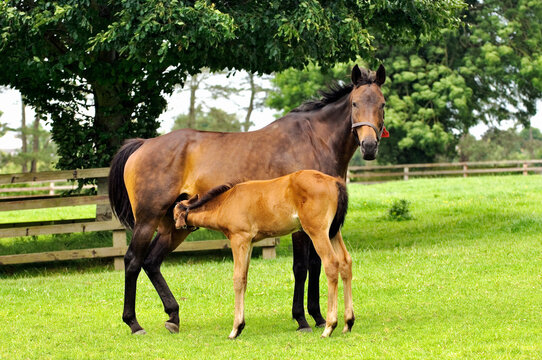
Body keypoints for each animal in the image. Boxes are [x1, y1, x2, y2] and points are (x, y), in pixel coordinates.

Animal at [172, 170, 354, 338]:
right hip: (333, 232)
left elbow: (238, 279)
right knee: (346, 262)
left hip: (317, 231)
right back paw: (348, 322)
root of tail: (335, 182)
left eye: (174, 216)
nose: (174, 228)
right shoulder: (250, 243)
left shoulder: (239, 239)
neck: (227, 202)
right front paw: (241, 325)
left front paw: (235, 328)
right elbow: (244, 279)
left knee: (331, 263)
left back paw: (329, 326)